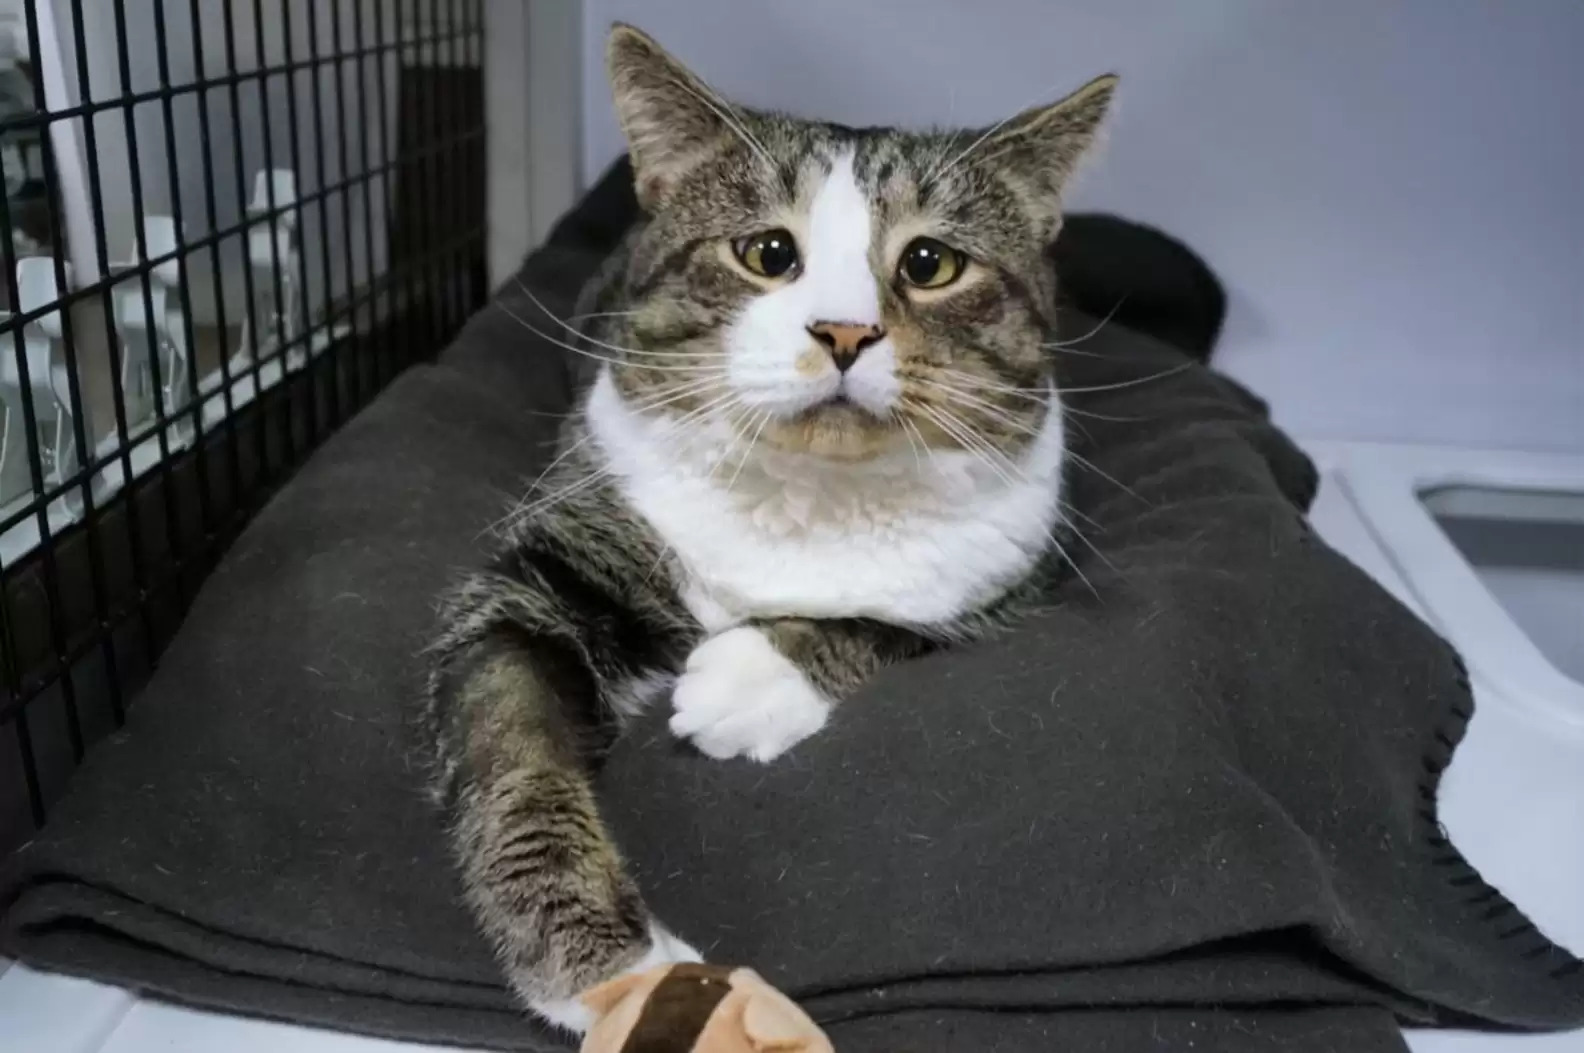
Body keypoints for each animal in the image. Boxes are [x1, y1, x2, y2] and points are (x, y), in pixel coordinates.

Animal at [425, 22, 1115, 1035]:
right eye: (766, 250)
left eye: (930, 263)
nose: (844, 332)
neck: (809, 490)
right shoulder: (552, 564)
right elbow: (512, 742)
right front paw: (605, 964)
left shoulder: (1010, 573)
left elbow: (896, 623)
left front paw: (751, 676)